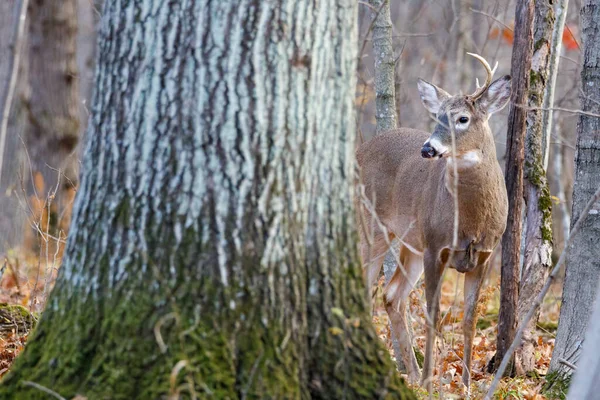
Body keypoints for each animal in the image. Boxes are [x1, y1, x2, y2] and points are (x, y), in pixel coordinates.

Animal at [356, 54, 510, 390]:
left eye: (463, 118)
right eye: (438, 116)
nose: (428, 149)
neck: (471, 222)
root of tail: (358, 153)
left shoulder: (484, 256)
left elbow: (469, 319)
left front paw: (465, 383)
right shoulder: (434, 247)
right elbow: (432, 314)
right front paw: (429, 381)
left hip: (409, 244)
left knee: (391, 296)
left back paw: (411, 374)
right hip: (373, 229)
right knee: (364, 289)